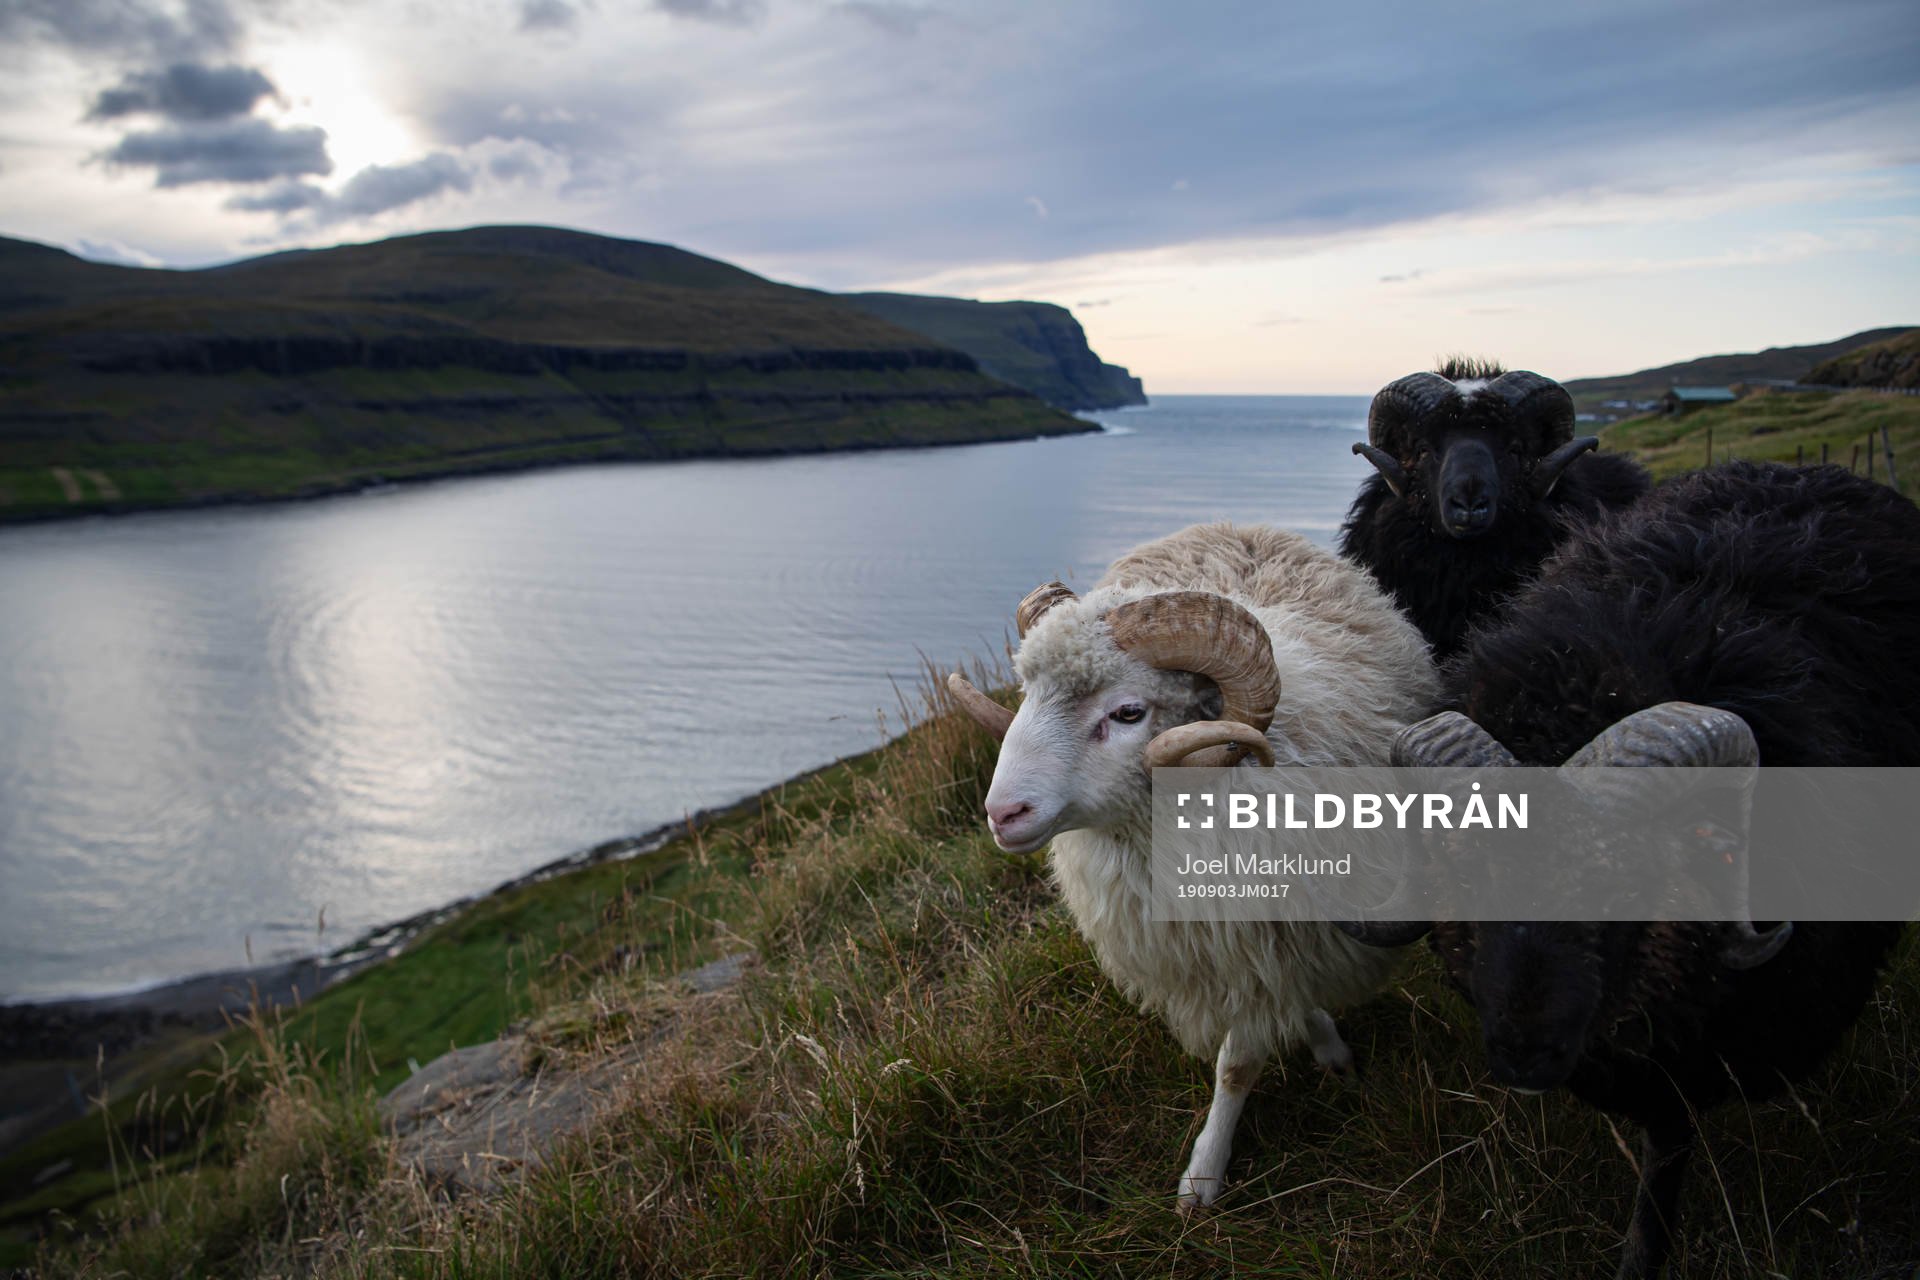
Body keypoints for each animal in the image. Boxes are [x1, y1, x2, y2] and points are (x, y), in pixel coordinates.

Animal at [947, 520, 1440, 1210]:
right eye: (1026, 695)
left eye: (1129, 713)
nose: (1002, 812)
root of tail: (1242, 525)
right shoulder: (1248, 948)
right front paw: (1321, 1046)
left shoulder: (1269, 944)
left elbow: (1237, 1065)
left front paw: (1202, 1178)